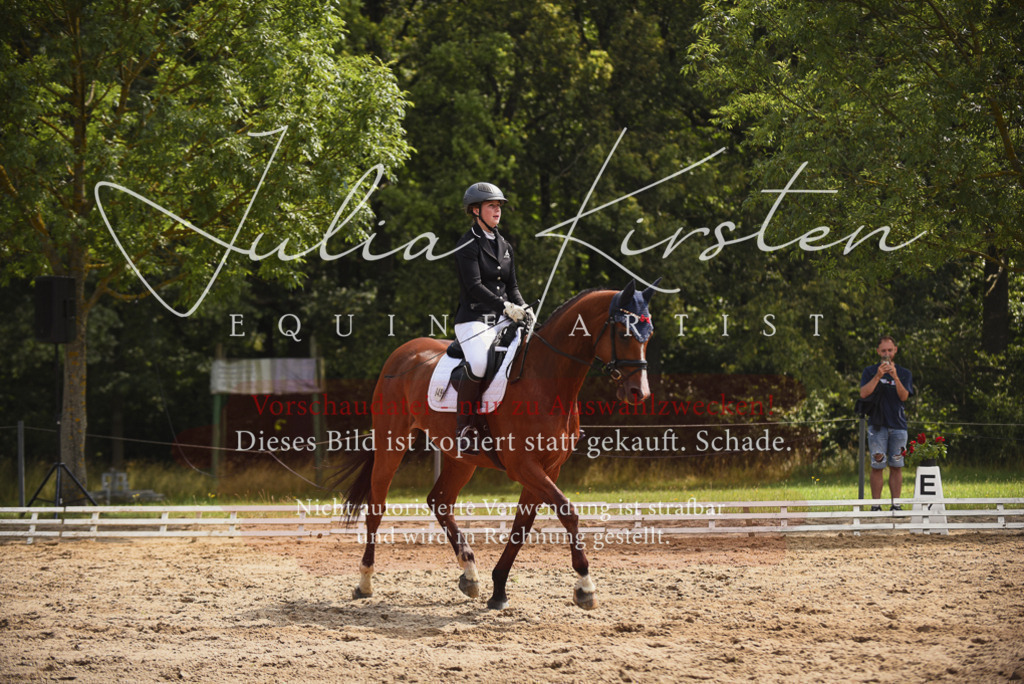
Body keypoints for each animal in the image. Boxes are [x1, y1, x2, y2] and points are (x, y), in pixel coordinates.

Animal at [338, 279, 659, 610]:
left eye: (648, 335)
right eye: (624, 333)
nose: (639, 393)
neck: (546, 378)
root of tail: (402, 352)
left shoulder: (549, 468)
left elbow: (522, 525)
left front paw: (499, 589)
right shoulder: (524, 466)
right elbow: (567, 511)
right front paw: (585, 586)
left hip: (460, 457)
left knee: (440, 500)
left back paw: (469, 573)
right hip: (392, 443)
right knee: (376, 508)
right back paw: (364, 582)